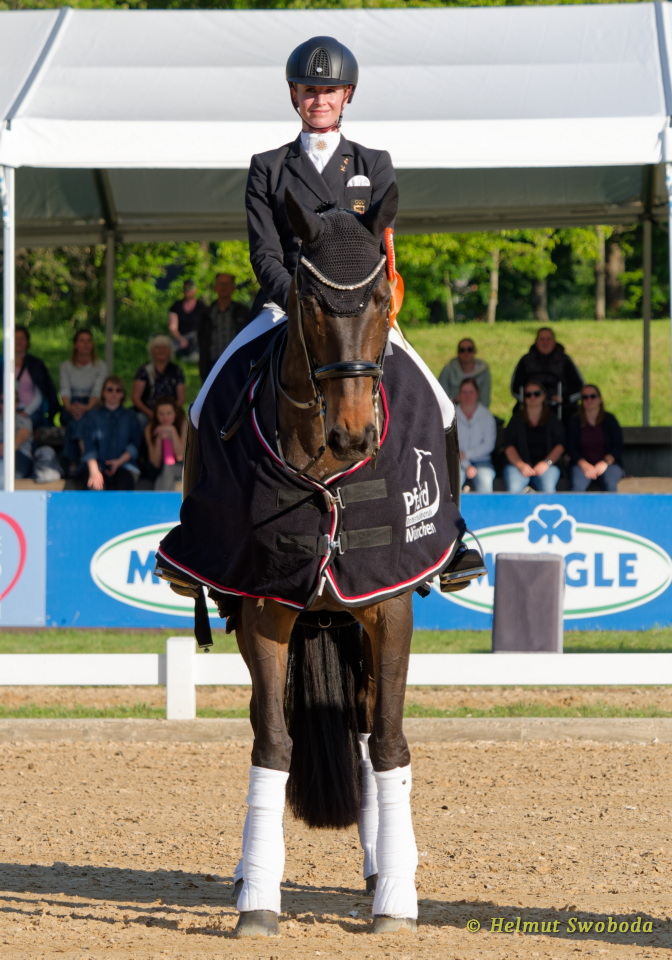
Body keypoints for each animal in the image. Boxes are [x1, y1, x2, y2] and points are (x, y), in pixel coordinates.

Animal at [156, 183, 462, 937]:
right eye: (313, 300)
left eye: (381, 297)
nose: (354, 434)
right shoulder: (266, 609)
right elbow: (272, 743)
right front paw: (258, 901)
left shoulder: (387, 604)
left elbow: (388, 743)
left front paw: (397, 902)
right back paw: (251, 875)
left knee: (365, 727)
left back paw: (382, 869)